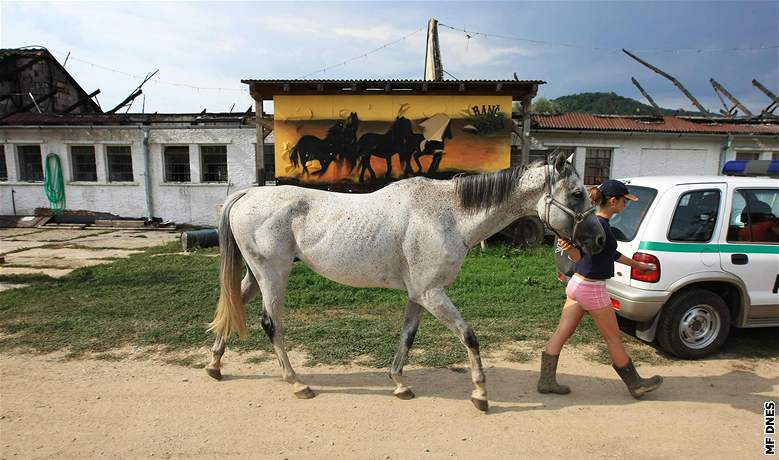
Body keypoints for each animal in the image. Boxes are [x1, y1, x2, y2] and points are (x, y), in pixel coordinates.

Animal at [204, 153, 608, 412]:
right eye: (577, 193)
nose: (600, 239)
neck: (450, 215)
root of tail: (248, 194)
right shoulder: (433, 294)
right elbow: (469, 336)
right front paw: (480, 394)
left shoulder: (419, 295)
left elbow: (408, 337)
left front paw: (399, 383)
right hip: (274, 274)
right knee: (271, 323)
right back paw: (297, 382)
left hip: (257, 275)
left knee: (235, 304)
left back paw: (215, 366)